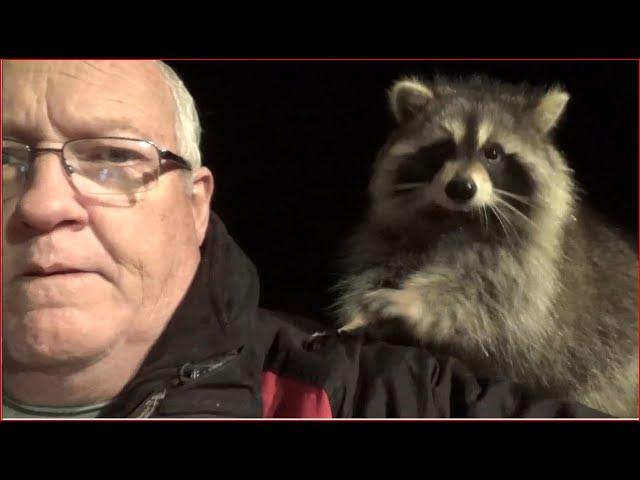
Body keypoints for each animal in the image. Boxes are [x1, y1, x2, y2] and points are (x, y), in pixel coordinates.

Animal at [336, 74, 640, 416]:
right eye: (444, 147)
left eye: (492, 153)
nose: (461, 188)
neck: (458, 216)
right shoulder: (393, 234)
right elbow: (376, 265)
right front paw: (358, 312)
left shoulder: (531, 263)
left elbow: (492, 298)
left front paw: (412, 301)